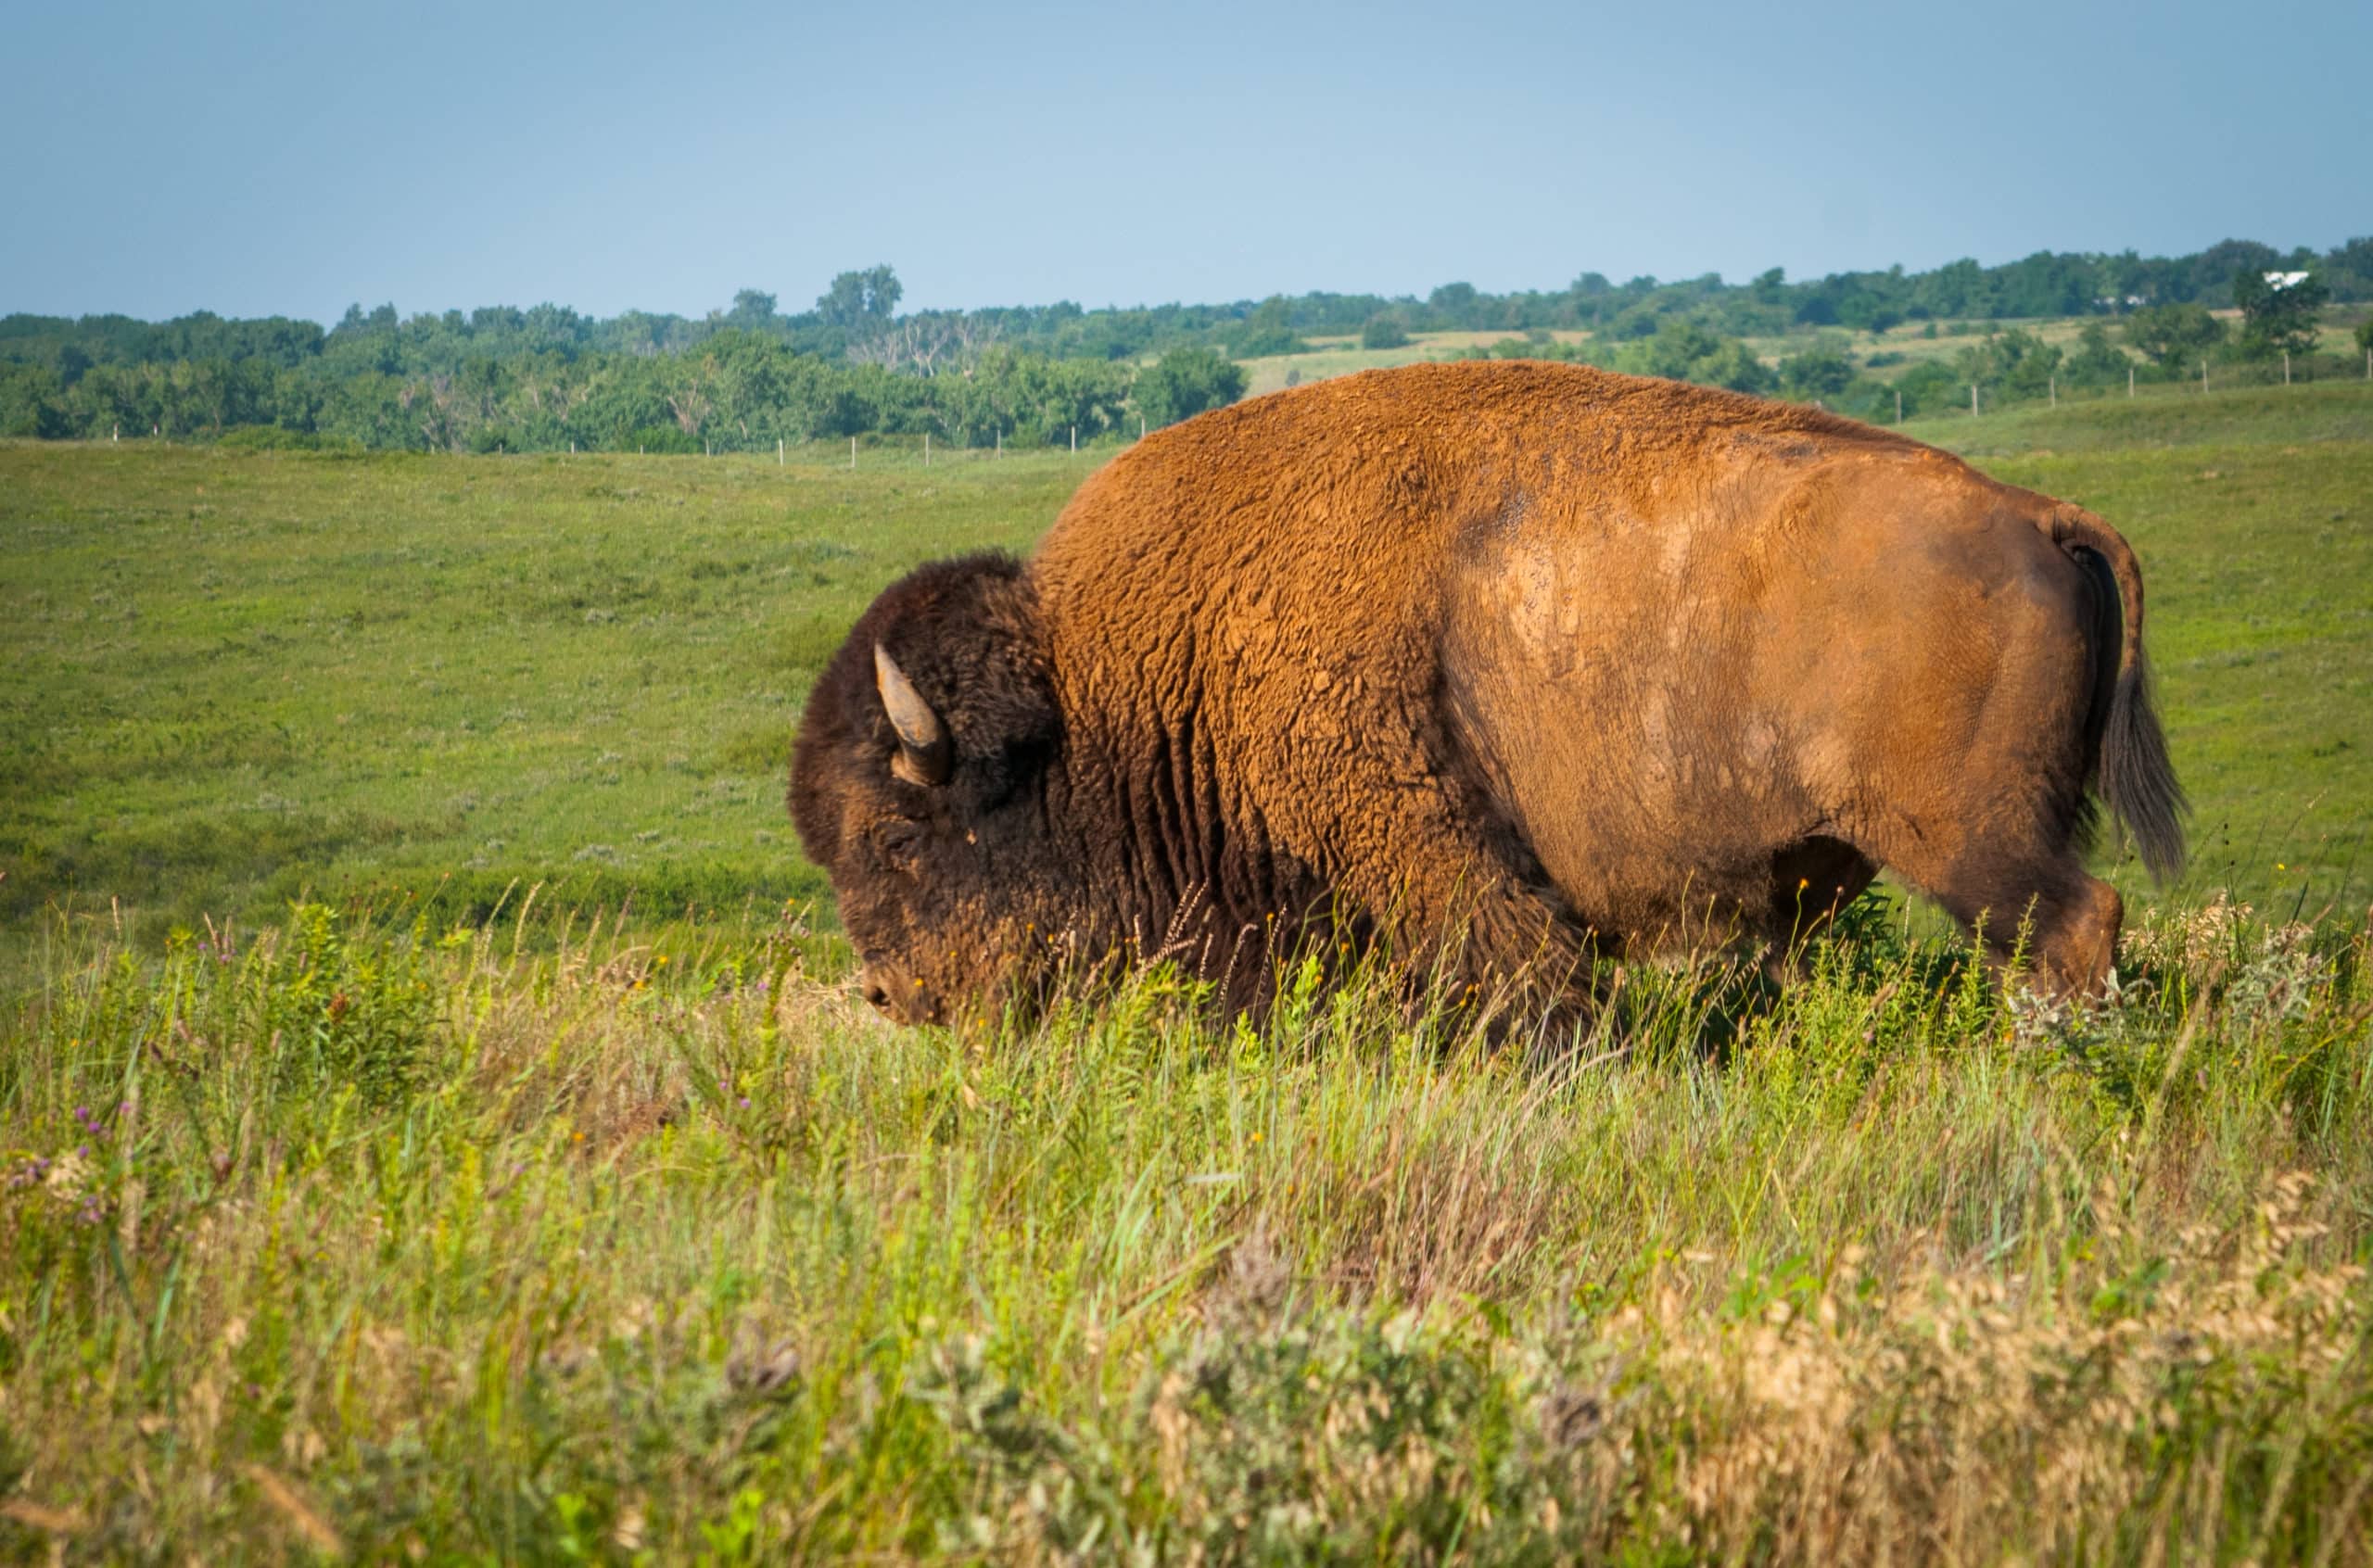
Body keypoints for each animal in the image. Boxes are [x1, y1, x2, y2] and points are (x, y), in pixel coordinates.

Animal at [791, 361, 2184, 1028]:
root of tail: (2039, 513)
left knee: (2072, 927)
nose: (895, 999)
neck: (1109, 683)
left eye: (899, 837)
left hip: (1969, 842)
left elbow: (1524, 982)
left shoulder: (1432, 854)